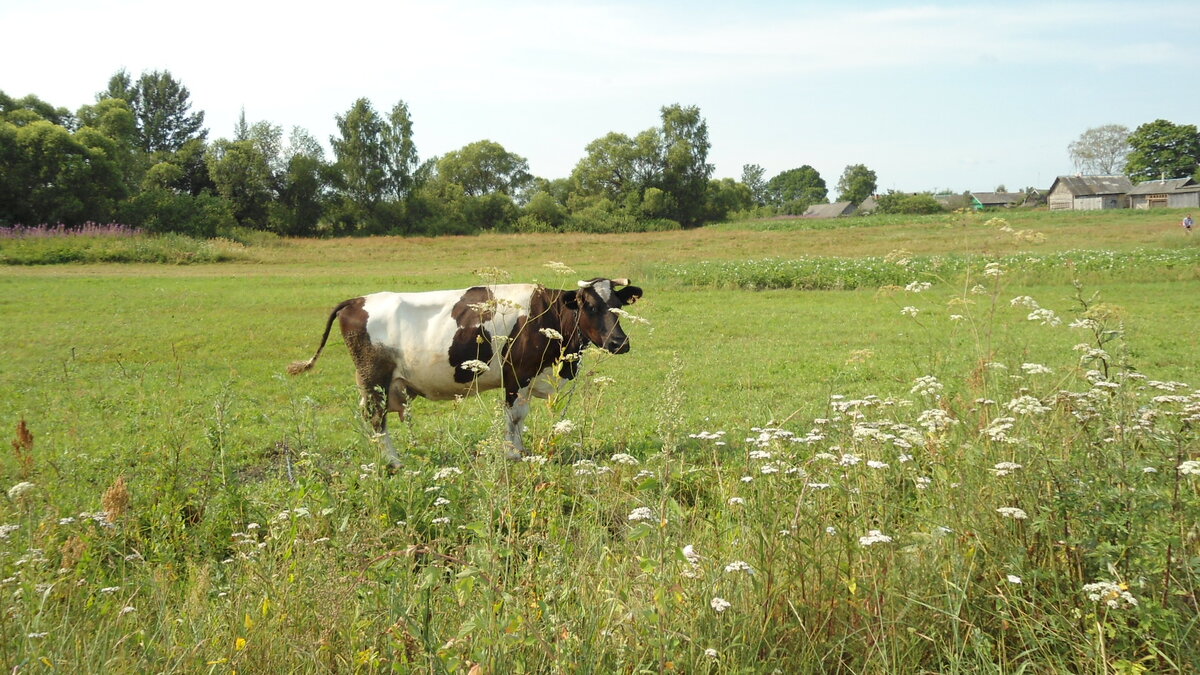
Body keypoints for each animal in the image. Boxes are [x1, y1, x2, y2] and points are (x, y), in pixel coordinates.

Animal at [287, 278, 644, 467]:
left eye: (618, 307)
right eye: (591, 307)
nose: (620, 342)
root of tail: (356, 300)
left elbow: (520, 419)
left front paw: (519, 451)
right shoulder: (517, 376)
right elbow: (514, 417)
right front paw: (513, 454)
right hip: (373, 379)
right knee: (376, 420)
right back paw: (394, 462)